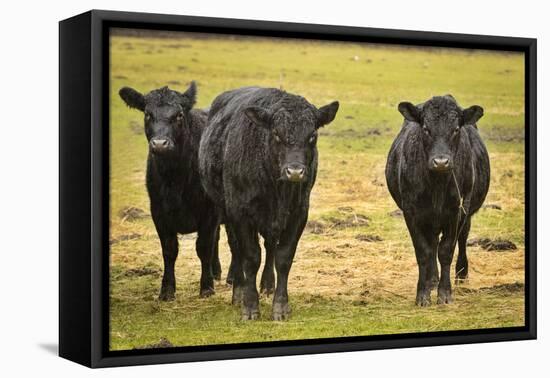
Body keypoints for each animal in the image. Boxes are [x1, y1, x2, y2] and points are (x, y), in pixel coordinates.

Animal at [119, 83, 223, 302]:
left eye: (179, 115)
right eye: (148, 114)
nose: (160, 144)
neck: (175, 178)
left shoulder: (210, 211)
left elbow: (203, 247)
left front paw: (206, 287)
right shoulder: (158, 211)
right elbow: (169, 250)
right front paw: (166, 290)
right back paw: (216, 272)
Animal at [201, 87, 338, 320]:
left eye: (312, 135)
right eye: (276, 134)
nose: (295, 171)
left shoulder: (298, 213)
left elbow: (283, 257)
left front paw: (280, 306)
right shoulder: (240, 213)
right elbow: (250, 257)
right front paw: (249, 306)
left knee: (270, 246)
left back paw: (267, 284)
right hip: (227, 211)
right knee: (237, 249)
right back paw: (238, 291)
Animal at [388, 96, 492, 306]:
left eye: (456, 129)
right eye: (426, 128)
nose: (441, 162)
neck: (437, 184)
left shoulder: (455, 211)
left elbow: (446, 251)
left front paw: (445, 293)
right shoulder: (411, 213)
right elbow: (423, 252)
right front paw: (423, 293)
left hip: (466, 212)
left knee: (462, 239)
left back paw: (461, 275)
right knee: (432, 244)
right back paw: (432, 279)